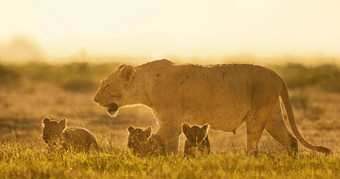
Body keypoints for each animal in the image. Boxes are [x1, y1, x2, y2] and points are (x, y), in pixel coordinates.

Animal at [93, 59, 330, 155]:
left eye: (106, 85)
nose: (95, 99)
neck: (146, 86)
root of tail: (278, 76)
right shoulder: (172, 125)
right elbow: (170, 148)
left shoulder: (171, 122)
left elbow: (156, 139)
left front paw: (138, 150)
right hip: (272, 115)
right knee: (290, 141)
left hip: (258, 114)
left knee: (253, 147)